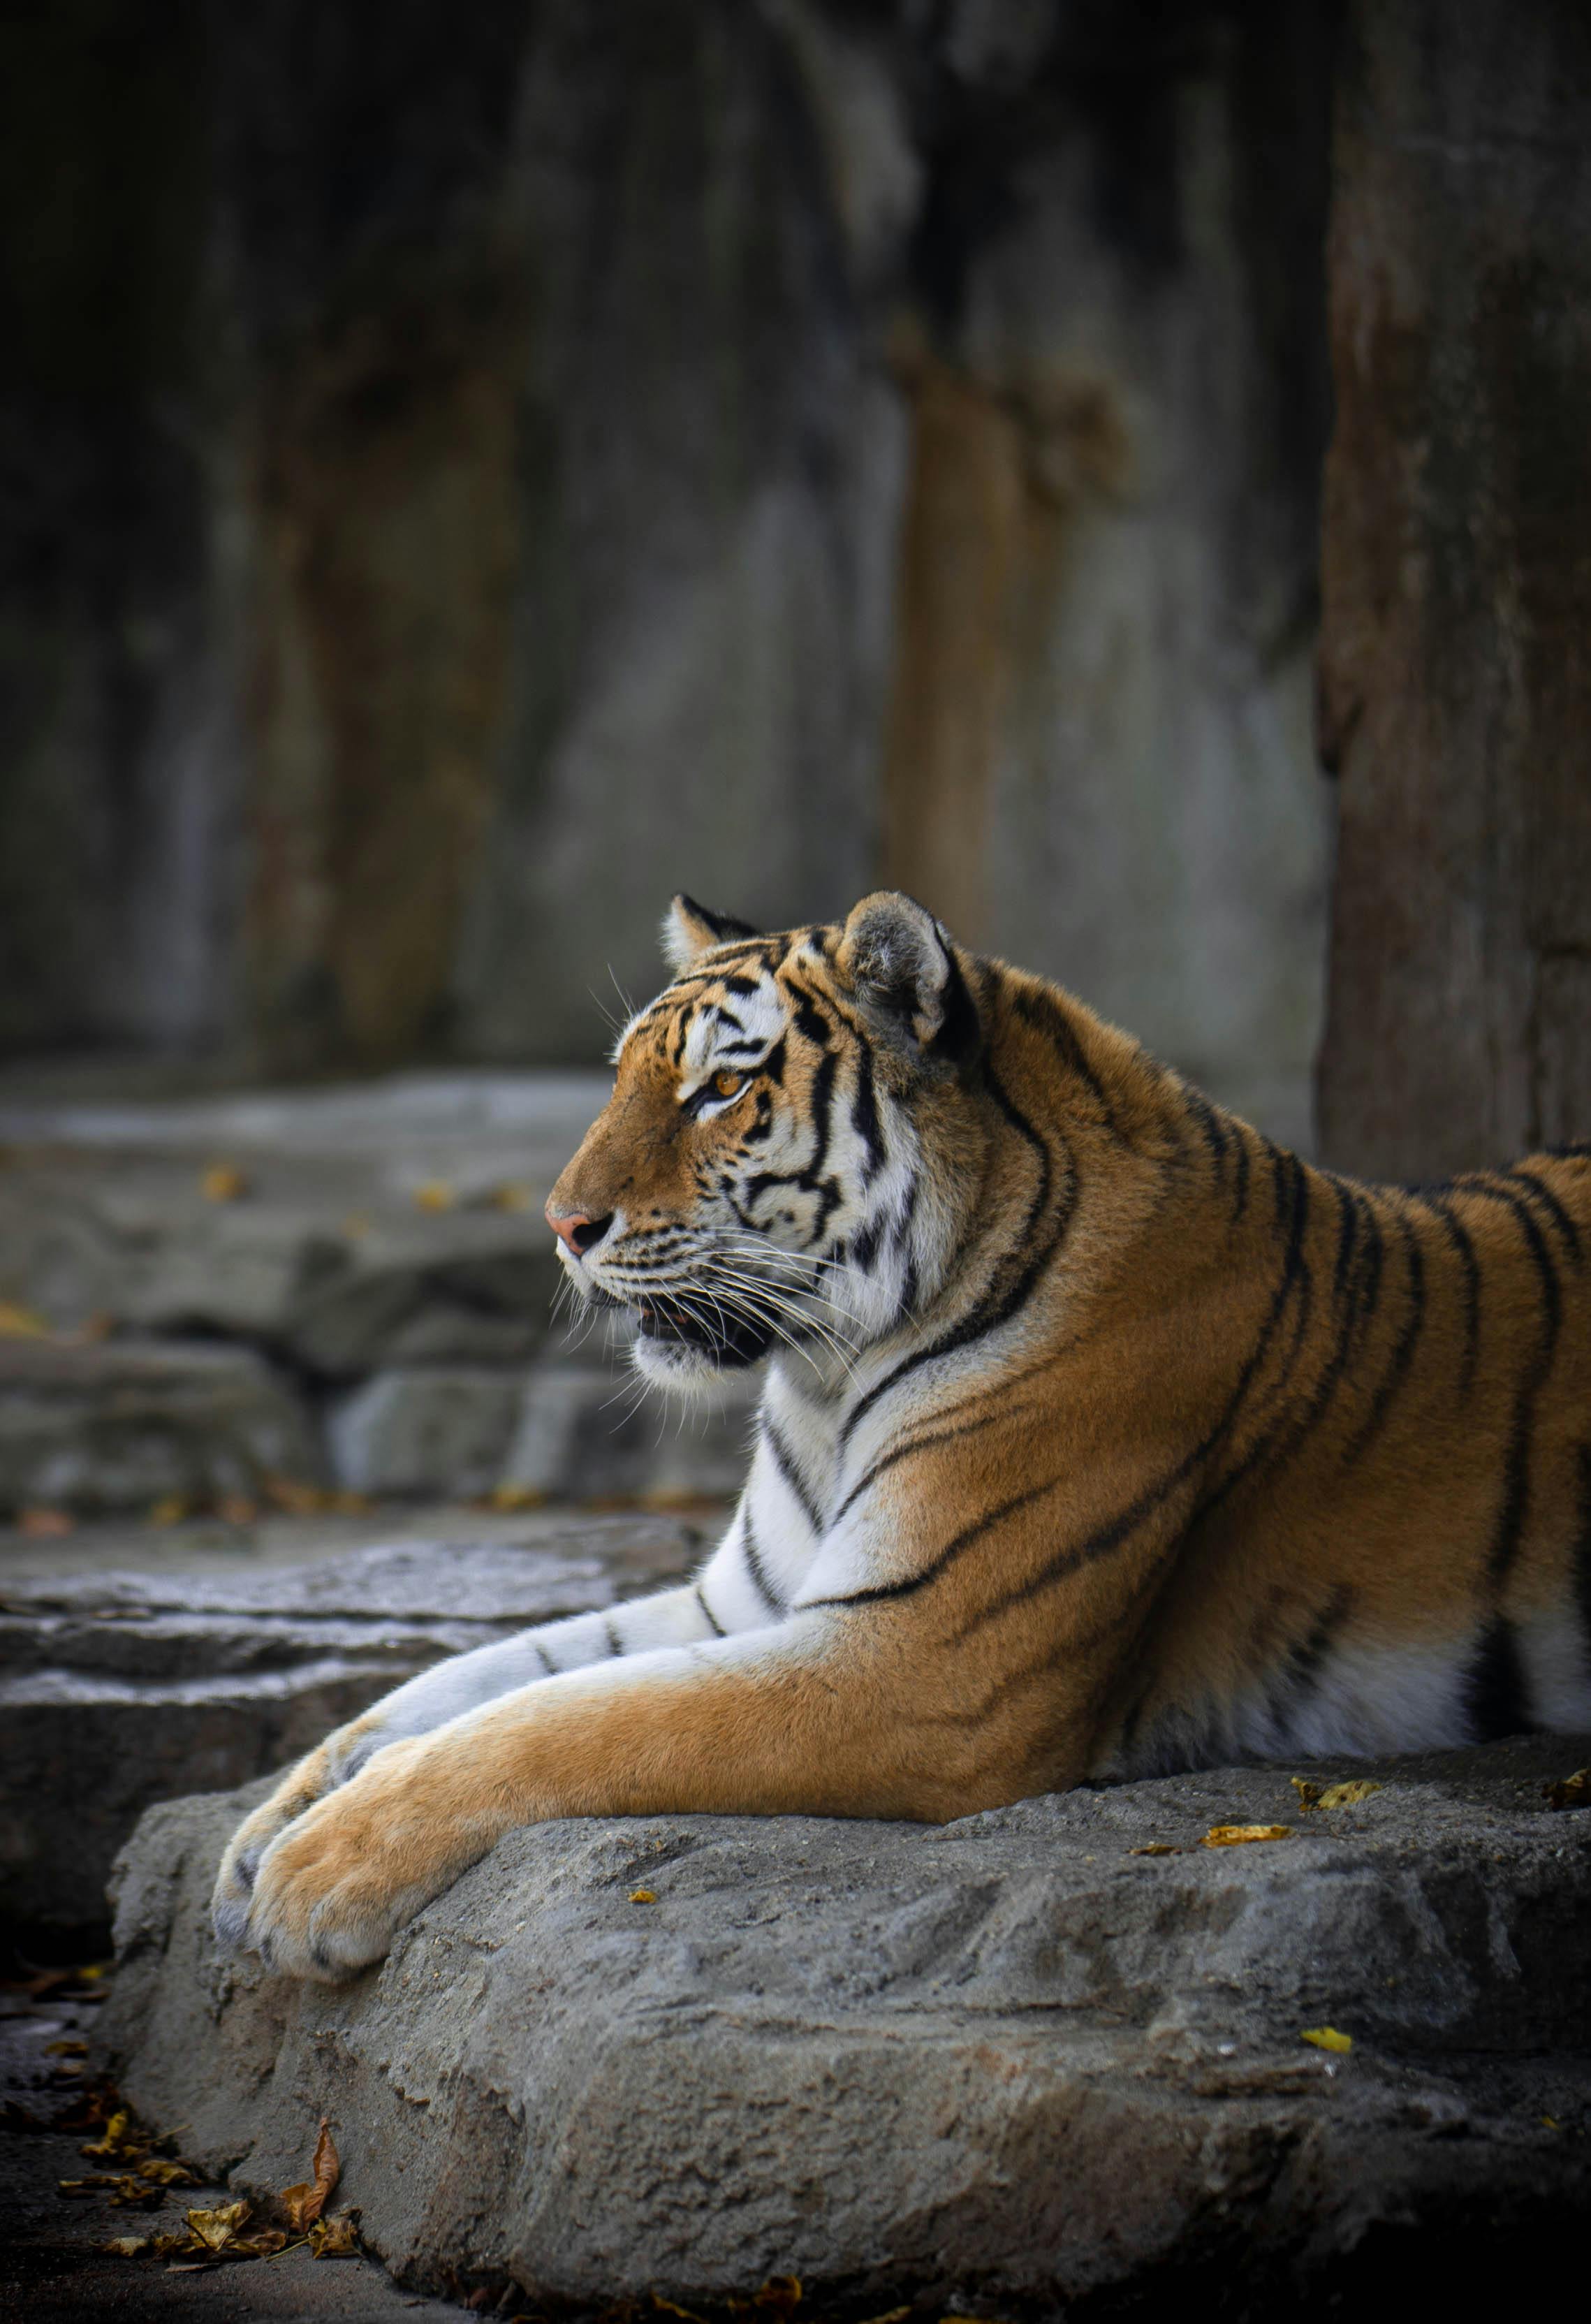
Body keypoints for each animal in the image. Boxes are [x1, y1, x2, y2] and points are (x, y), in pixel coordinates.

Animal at [213, 887, 1588, 1980]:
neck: (826, 1377)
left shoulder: (918, 1661)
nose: (561, 1224)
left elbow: (569, 1720)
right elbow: (475, 1677)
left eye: (722, 1086)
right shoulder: (738, 1604)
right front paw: (269, 1825)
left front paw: (319, 1869)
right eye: (620, 1077)